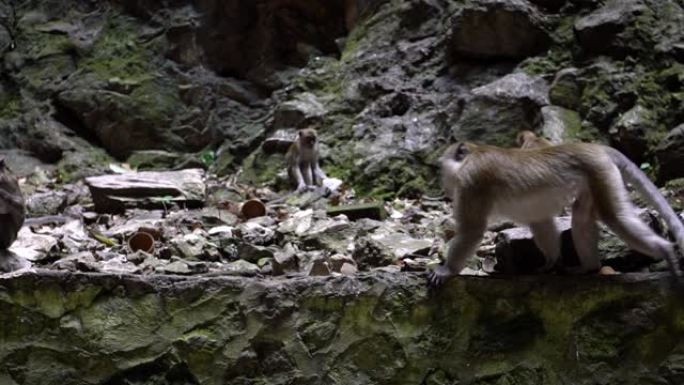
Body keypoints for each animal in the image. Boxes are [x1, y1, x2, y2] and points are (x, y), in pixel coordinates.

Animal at [430, 140, 680, 286]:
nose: (444, 184)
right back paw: (589, 268)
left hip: (601, 172)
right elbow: (540, 221)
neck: (473, 155)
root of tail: (594, 147)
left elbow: (472, 231)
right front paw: (550, 263)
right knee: (581, 217)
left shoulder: (472, 182)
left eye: (442, 169)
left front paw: (447, 270)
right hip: (593, 179)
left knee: (615, 217)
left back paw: (665, 249)